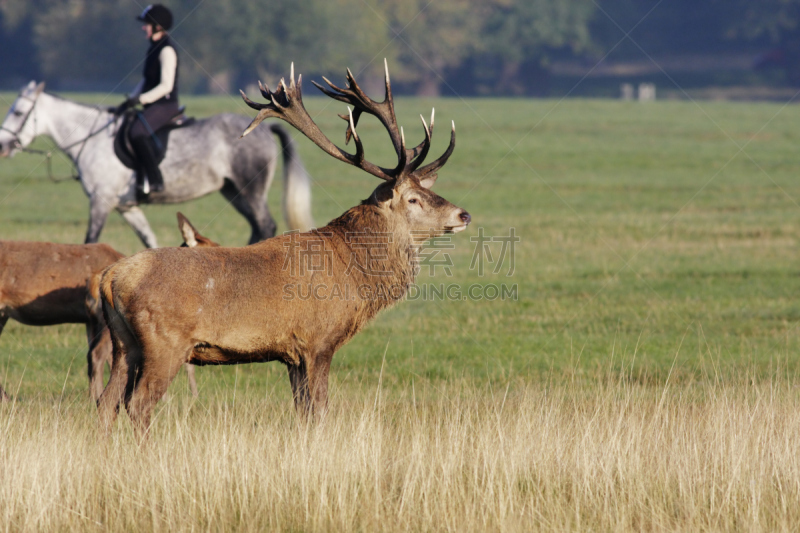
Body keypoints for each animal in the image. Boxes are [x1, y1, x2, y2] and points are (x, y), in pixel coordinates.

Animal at [0, 81, 314, 247]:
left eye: (18, 112)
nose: (3, 146)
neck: (91, 138)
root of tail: (264, 127)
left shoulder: (100, 202)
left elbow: (90, 241)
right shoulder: (127, 207)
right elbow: (149, 240)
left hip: (251, 191)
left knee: (265, 225)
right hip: (233, 192)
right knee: (258, 227)